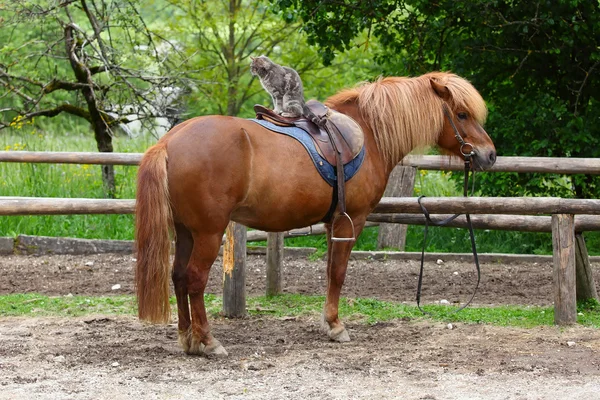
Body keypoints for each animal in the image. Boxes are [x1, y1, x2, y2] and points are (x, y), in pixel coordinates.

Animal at [135, 72, 496, 356]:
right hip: (208, 233)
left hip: (185, 231)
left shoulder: (331, 223)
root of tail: (168, 142)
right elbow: (338, 273)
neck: (369, 132)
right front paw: (336, 326)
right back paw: (208, 341)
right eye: (462, 114)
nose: (489, 155)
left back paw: (188, 339)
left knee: (178, 277)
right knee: (194, 279)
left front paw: (328, 321)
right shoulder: (351, 221)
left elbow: (328, 272)